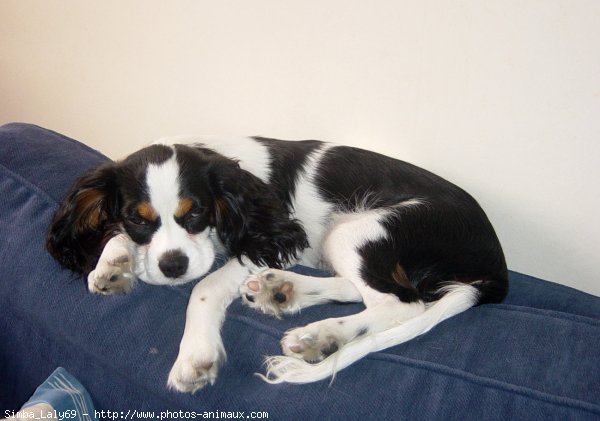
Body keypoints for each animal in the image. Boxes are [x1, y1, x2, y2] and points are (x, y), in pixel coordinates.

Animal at [45, 135, 506, 390]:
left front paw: (195, 354)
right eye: (136, 219)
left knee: (399, 303)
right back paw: (283, 291)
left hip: (362, 229)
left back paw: (320, 335)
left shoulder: (268, 237)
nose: (173, 265)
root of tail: (495, 267)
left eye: (196, 213)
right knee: (356, 287)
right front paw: (113, 264)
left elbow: (204, 286)